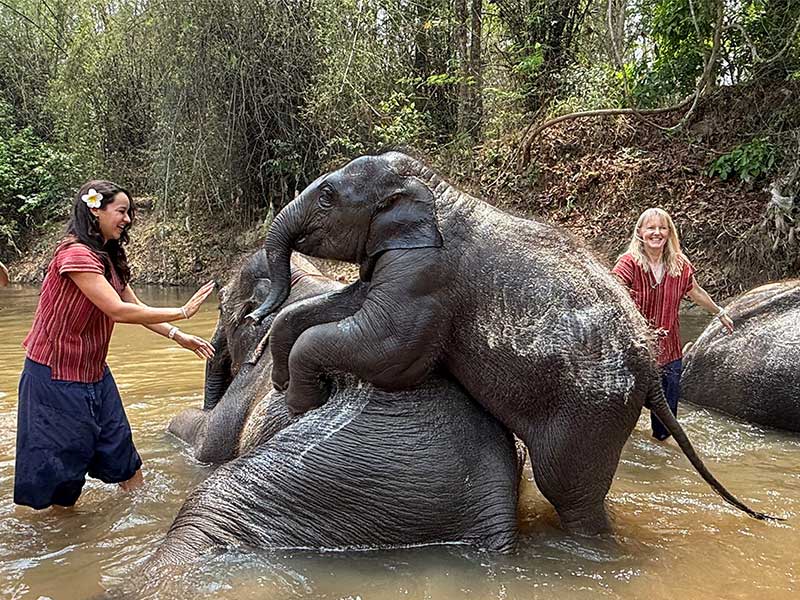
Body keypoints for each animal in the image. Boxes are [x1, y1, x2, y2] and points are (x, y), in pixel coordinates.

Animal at [246, 151, 775, 534]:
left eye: (327, 195)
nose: (252, 315)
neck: (433, 186)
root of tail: (649, 368)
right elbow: (338, 308)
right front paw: (286, 383)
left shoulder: (429, 275)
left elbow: (391, 351)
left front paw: (299, 402)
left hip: (590, 414)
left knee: (569, 491)